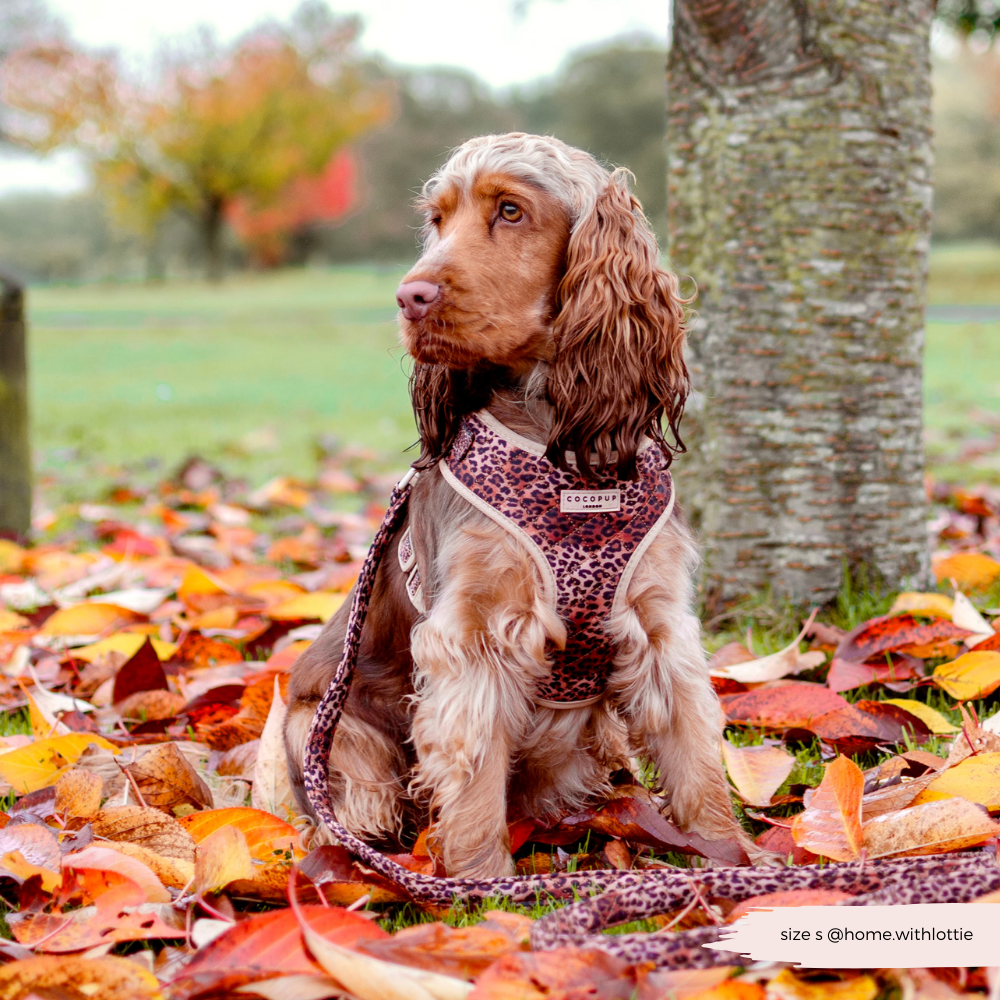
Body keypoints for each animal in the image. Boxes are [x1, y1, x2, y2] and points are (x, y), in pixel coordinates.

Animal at [282, 131, 752, 876]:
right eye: (438, 218)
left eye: (510, 210)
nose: (409, 296)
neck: (567, 456)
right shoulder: (475, 639)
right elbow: (473, 789)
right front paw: (484, 888)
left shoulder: (659, 626)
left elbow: (696, 760)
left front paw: (736, 861)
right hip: (324, 735)